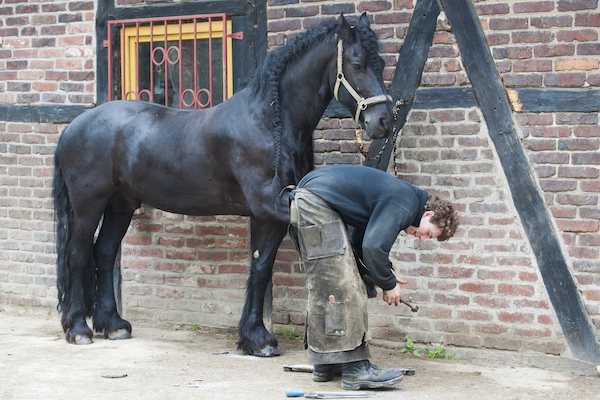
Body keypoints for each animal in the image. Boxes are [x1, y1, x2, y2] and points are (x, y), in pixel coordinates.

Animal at [52, 13, 394, 356]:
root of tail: (74, 126)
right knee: (78, 255)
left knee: (105, 252)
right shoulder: (268, 205)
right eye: (357, 64)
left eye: (381, 63)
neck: (269, 124)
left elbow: (260, 269)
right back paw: (79, 328)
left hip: (120, 205)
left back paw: (113, 324)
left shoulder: (272, 214)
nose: (383, 121)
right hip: (88, 206)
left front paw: (256, 338)